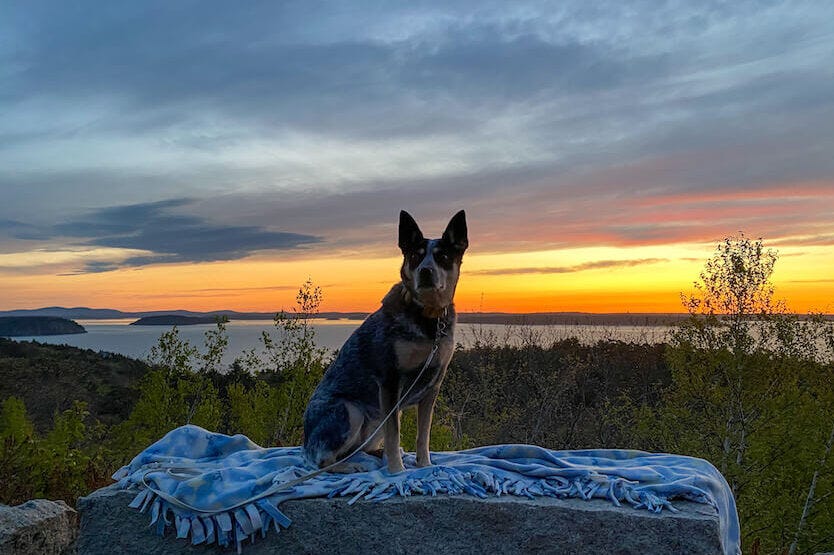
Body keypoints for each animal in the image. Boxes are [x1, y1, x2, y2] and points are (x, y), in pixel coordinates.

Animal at [300, 212, 468, 474]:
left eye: (443, 257)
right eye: (415, 256)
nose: (426, 271)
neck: (428, 318)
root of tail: (306, 440)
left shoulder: (432, 385)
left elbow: (423, 435)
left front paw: (424, 464)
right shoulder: (390, 381)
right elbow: (394, 433)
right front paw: (397, 471)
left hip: (374, 419)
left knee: (359, 449)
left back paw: (376, 454)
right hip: (351, 411)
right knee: (321, 460)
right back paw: (351, 466)